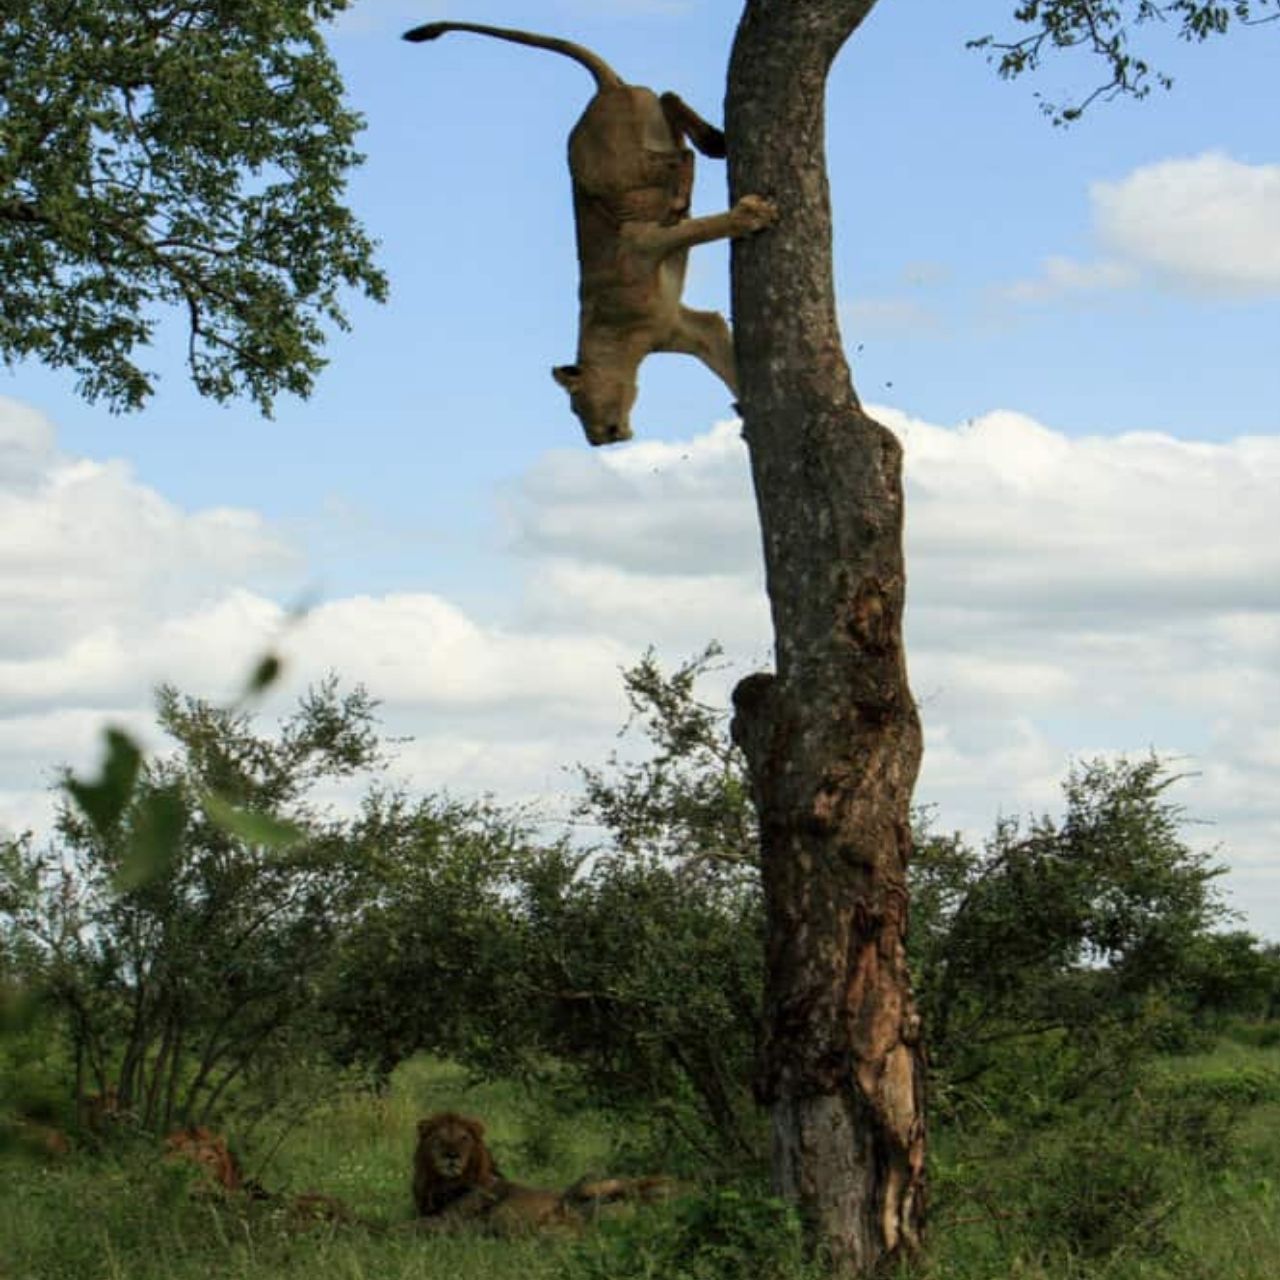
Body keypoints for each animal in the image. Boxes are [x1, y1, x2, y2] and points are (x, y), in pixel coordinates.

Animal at [403, 21, 777, 446]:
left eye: (576, 406)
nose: (597, 441)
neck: (619, 339)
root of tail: (606, 89)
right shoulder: (687, 329)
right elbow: (724, 358)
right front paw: (747, 412)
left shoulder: (641, 244)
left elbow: (702, 227)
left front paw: (754, 215)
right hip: (644, 136)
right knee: (669, 101)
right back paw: (715, 142)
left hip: (614, 169)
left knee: (679, 158)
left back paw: (686, 189)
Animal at [412, 1111, 674, 1235]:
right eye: (439, 1138)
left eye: (464, 1138)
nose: (451, 1155)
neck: (442, 1183)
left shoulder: (451, 1220)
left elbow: (407, 1226)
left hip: (591, 1183)